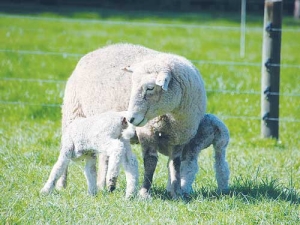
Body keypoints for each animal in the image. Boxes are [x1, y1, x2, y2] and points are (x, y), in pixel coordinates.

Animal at [59, 43, 207, 199]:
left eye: (150, 88)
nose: (130, 118)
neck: (172, 118)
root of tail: (97, 50)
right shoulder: (147, 132)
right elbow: (150, 161)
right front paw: (144, 192)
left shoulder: (179, 138)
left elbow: (175, 164)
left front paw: (176, 192)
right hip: (72, 113)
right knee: (65, 151)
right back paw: (61, 185)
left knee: (105, 156)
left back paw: (102, 184)